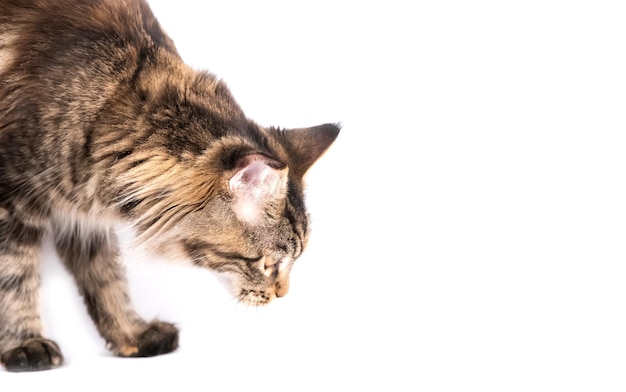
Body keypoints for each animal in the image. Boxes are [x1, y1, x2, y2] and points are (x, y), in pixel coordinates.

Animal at [0, 0, 338, 372]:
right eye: (268, 264)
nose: (282, 294)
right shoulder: (12, 200)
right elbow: (14, 277)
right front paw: (25, 342)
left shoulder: (86, 220)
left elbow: (107, 279)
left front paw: (131, 334)